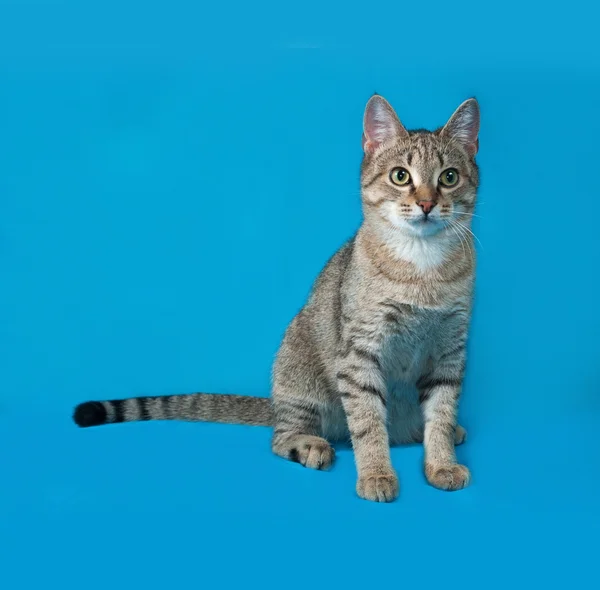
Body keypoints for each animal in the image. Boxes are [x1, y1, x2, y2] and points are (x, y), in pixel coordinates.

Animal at [74, 96, 478, 504]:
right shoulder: (360, 353)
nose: (426, 204)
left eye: (448, 177)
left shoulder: (449, 352)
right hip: (299, 372)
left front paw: (441, 463)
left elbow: (441, 414)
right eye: (400, 176)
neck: (422, 268)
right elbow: (366, 422)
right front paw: (376, 473)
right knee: (282, 436)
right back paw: (311, 444)